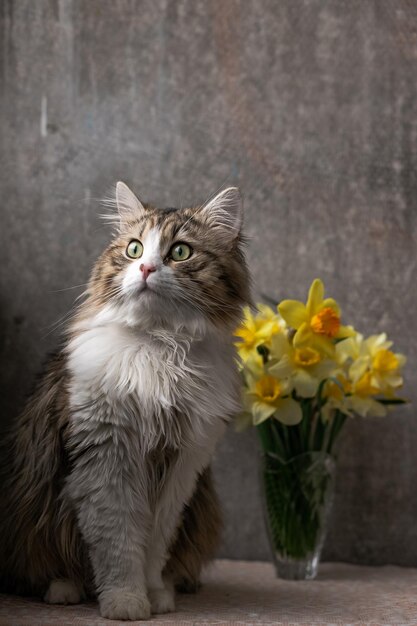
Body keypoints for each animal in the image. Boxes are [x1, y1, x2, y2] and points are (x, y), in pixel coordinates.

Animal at [0, 182, 249, 620]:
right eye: (134, 249)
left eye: (179, 252)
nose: (146, 269)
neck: (160, 346)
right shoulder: (107, 458)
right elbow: (118, 544)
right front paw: (125, 603)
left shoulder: (181, 467)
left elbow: (152, 545)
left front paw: (154, 595)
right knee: (41, 570)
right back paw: (65, 590)